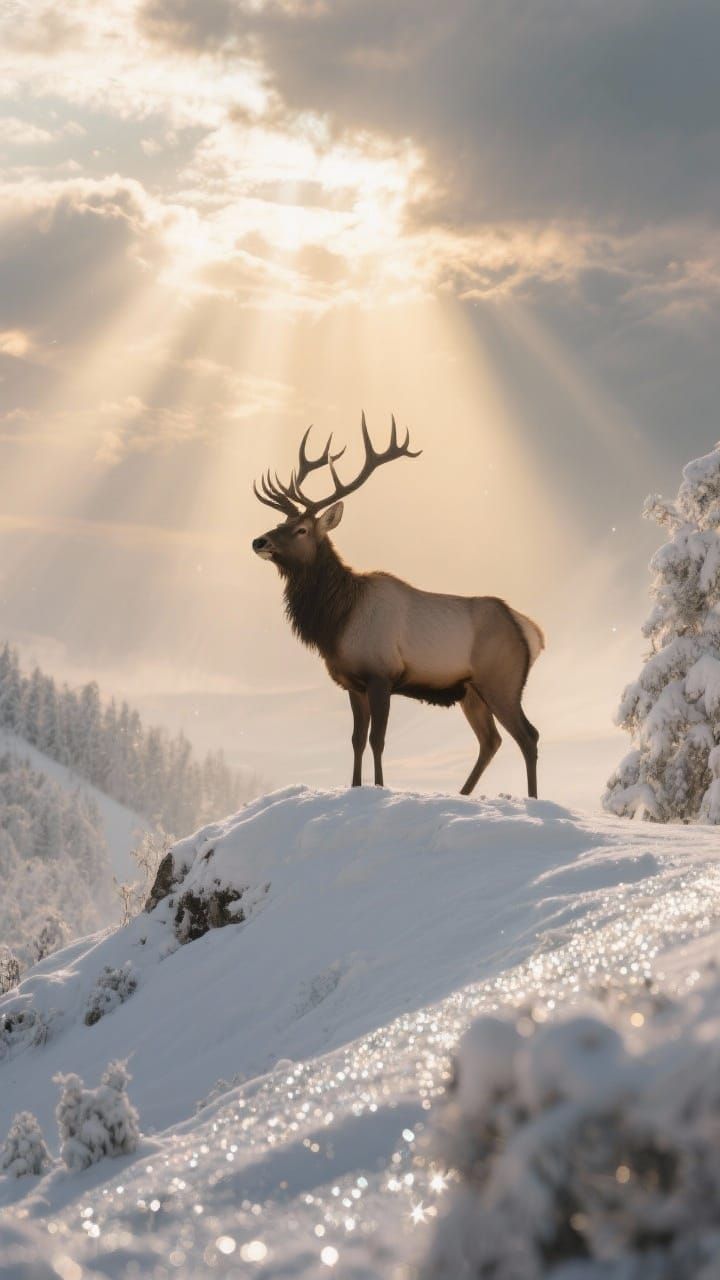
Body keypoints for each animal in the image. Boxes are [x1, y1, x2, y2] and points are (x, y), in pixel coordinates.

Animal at [252, 416, 544, 796]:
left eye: (301, 529)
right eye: (280, 523)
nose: (259, 541)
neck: (337, 622)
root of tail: (531, 632)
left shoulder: (382, 675)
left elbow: (377, 740)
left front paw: (379, 787)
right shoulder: (353, 683)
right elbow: (356, 741)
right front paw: (356, 787)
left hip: (502, 680)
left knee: (528, 735)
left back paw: (532, 799)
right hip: (471, 691)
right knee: (491, 740)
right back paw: (463, 794)